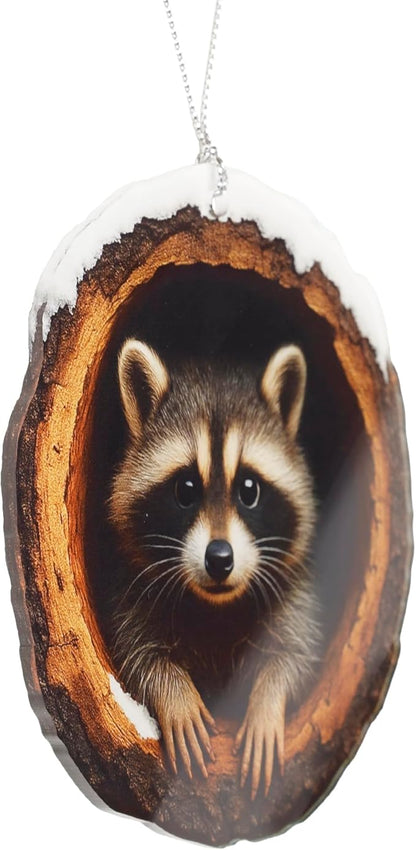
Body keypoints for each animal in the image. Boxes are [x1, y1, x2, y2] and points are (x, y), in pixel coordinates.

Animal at [109, 339, 319, 799]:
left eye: (249, 489)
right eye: (186, 489)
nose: (220, 558)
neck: (214, 606)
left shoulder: (292, 587)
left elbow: (299, 653)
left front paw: (267, 697)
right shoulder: (130, 583)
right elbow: (133, 651)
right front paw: (173, 690)